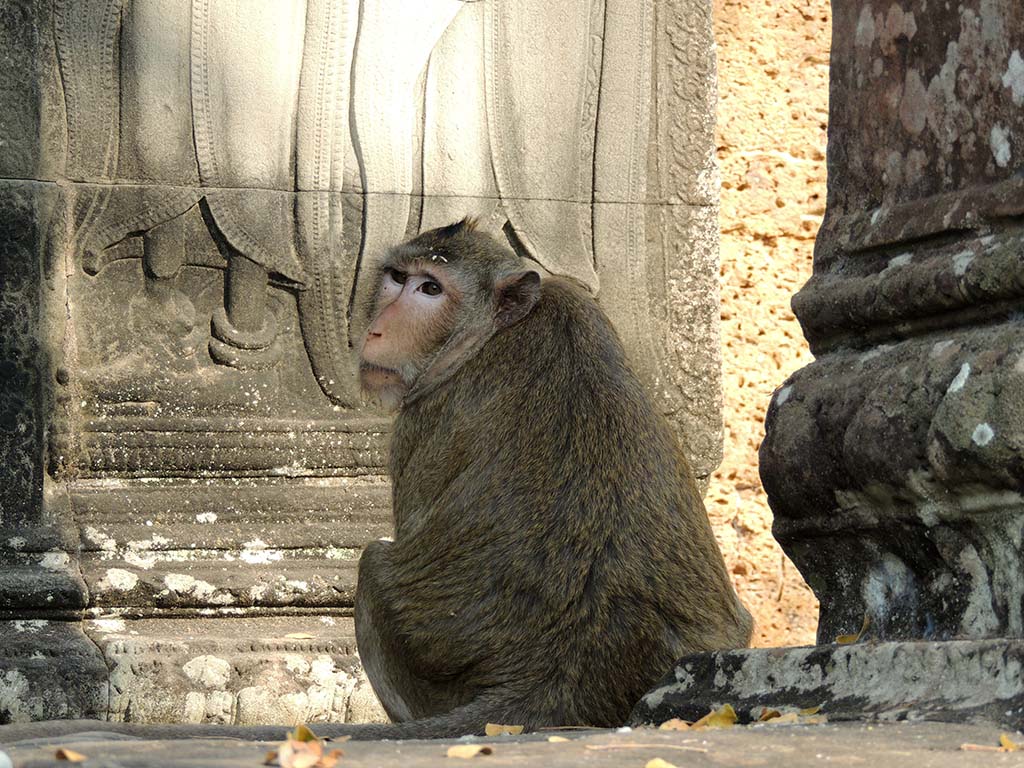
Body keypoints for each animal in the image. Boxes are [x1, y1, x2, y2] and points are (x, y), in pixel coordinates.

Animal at [0, 218, 753, 745]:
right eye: (398, 277)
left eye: (432, 289)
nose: (379, 329)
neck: (495, 329)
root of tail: (561, 675)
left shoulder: (424, 412)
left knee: (371, 564)